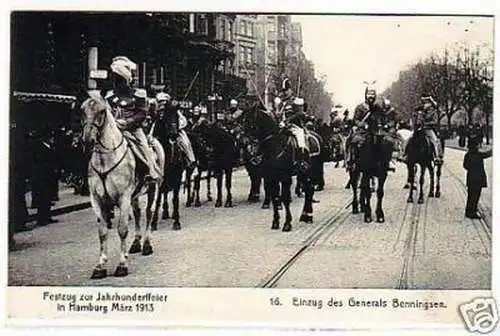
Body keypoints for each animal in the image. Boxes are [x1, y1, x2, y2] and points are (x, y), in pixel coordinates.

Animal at [81, 90, 165, 280]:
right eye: (82, 110)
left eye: (102, 111)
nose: (88, 140)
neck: (105, 160)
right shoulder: (97, 200)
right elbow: (102, 231)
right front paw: (100, 266)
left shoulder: (123, 197)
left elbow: (122, 229)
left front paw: (122, 265)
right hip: (135, 196)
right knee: (138, 213)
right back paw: (135, 244)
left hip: (153, 188)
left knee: (149, 213)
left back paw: (146, 245)